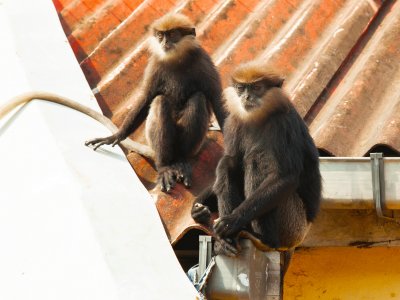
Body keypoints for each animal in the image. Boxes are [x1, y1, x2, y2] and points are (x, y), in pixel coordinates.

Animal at [86, 13, 227, 192]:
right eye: (160, 35)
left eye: (172, 34)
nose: (164, 43)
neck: (176, 59)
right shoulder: (155, 65)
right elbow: (147, 97)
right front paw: (114, 136)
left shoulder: (203, 59)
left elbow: (216, 98)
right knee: (160, 101)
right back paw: (165, 167)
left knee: (198, 98)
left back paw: (181, 162)